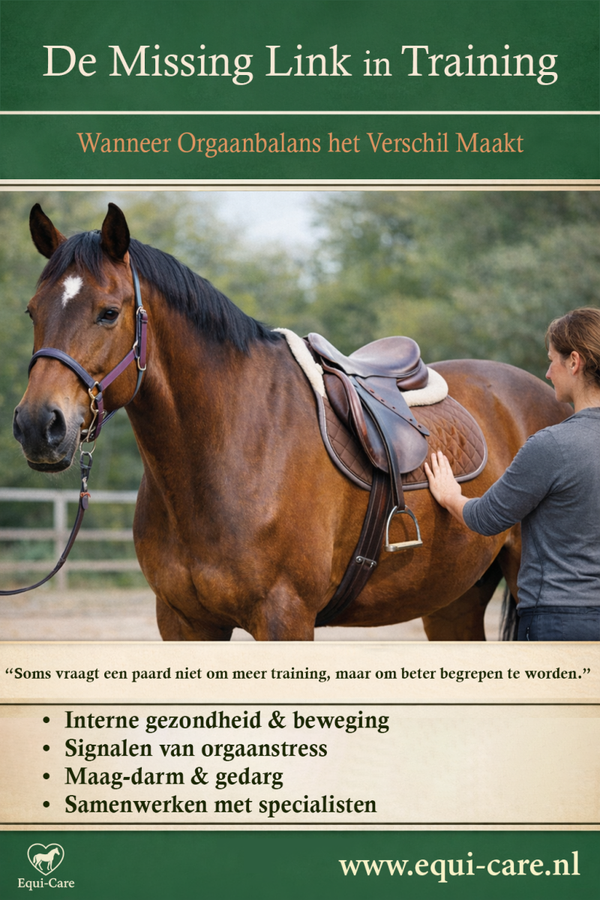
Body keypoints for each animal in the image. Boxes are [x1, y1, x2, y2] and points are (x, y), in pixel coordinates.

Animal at [14, 203, 570, 641]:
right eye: (32, 311)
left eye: (108, 313)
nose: (39, 426)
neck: (229, 445)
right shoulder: (184, 622)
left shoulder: (285, 618)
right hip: (453, 600)